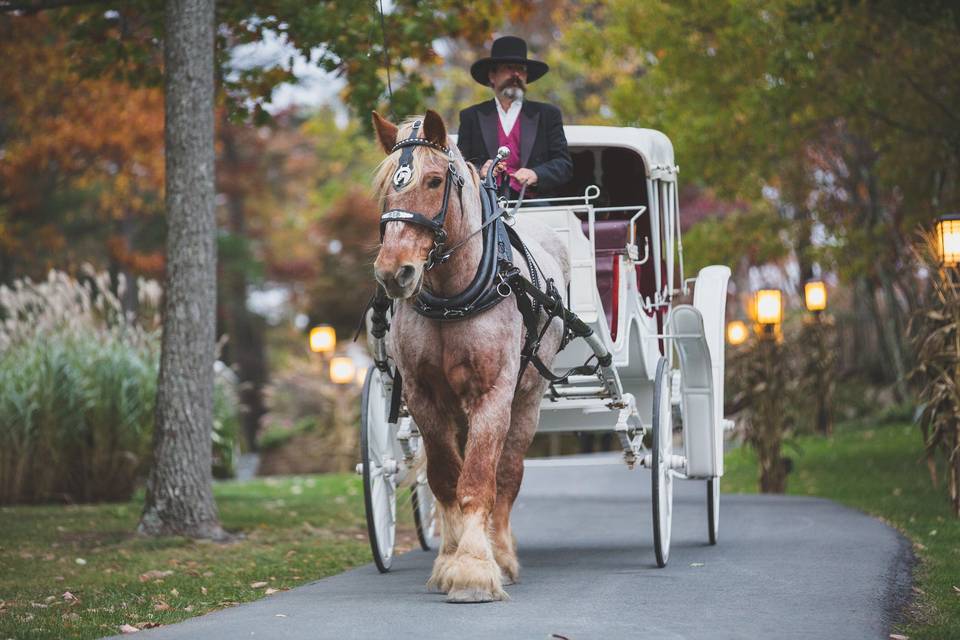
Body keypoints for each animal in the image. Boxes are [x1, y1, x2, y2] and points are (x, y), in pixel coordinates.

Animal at [370, 107, 568, 604]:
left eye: (435, 180)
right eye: (386, 186)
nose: (393, 272)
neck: (451, 296)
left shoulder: (493, 393)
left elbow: (479, 479)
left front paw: (476, 568)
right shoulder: (422, 395)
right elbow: (445, 476)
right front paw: (448, 560)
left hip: (527, 397)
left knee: (508, 473)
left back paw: (503, 554)